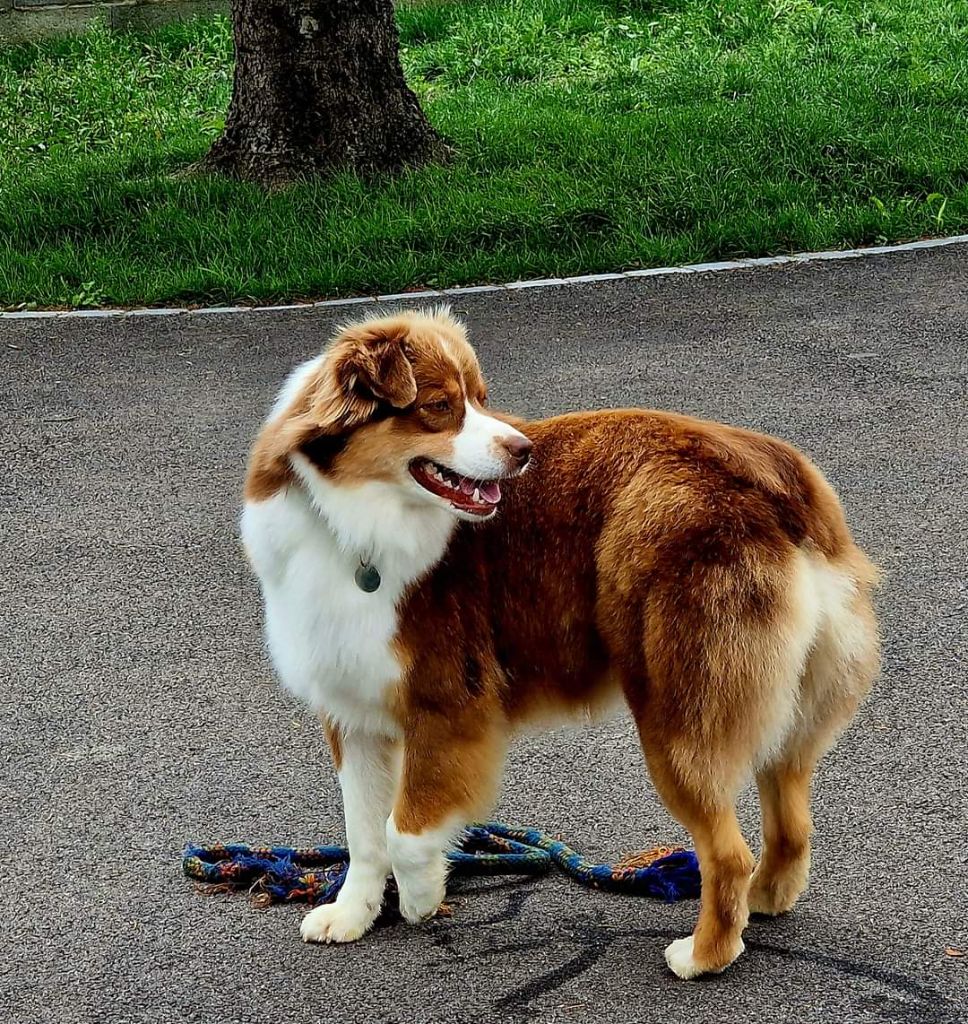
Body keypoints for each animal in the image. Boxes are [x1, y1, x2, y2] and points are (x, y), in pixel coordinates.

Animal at [239, 307, 876, 978]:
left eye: (479, 398)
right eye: (440, 406)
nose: (523, 451)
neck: (353, 522)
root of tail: (775, 480)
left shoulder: (446, 703)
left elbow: (401, 830)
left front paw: (421, 897)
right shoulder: (351, 708)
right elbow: (362, 831)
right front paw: (352, 913)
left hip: (676, 710)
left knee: (726, 852)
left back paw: (702, 955)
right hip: (789, 708)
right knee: (791, 823)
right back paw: (763, 900)